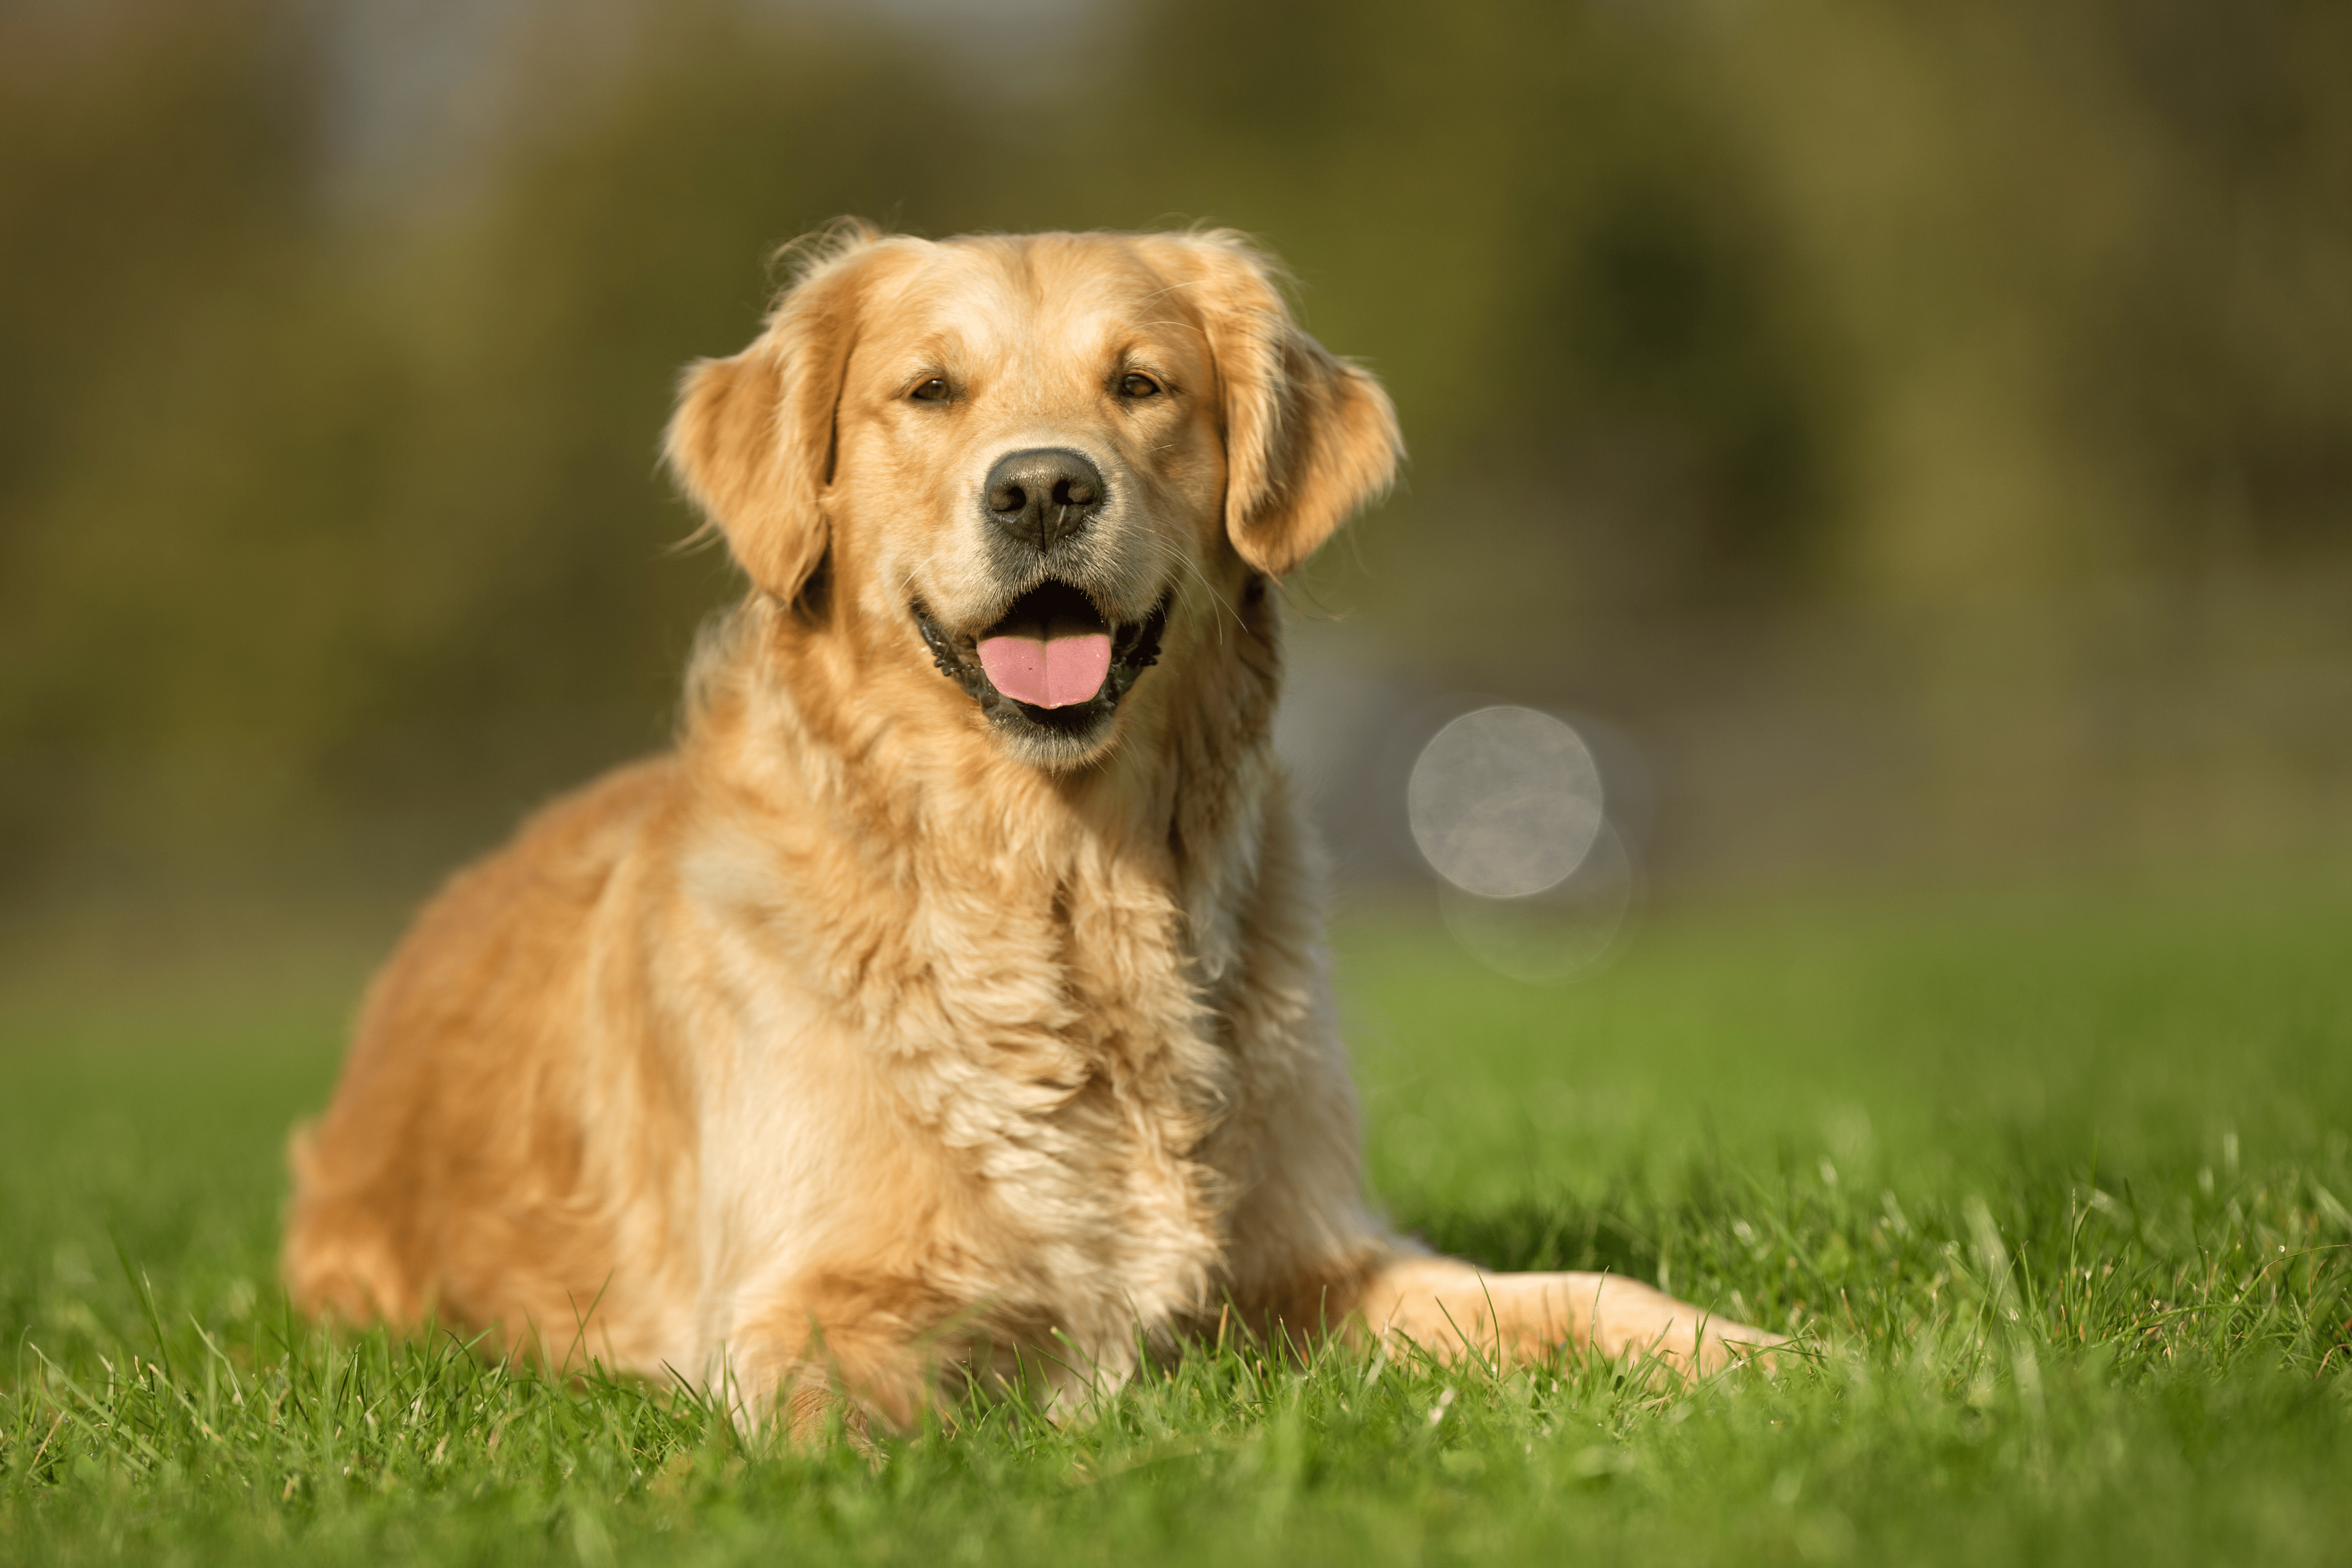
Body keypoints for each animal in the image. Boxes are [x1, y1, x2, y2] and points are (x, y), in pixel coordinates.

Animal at [279, 221, 1769, 1439]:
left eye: (1142, 385)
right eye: (930, 391)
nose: (1045, 489)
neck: (1058, 887)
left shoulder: (1315, 1261)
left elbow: (1575, 1295)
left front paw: (1765, 1361)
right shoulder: (809, 1299)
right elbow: (855, 1423)